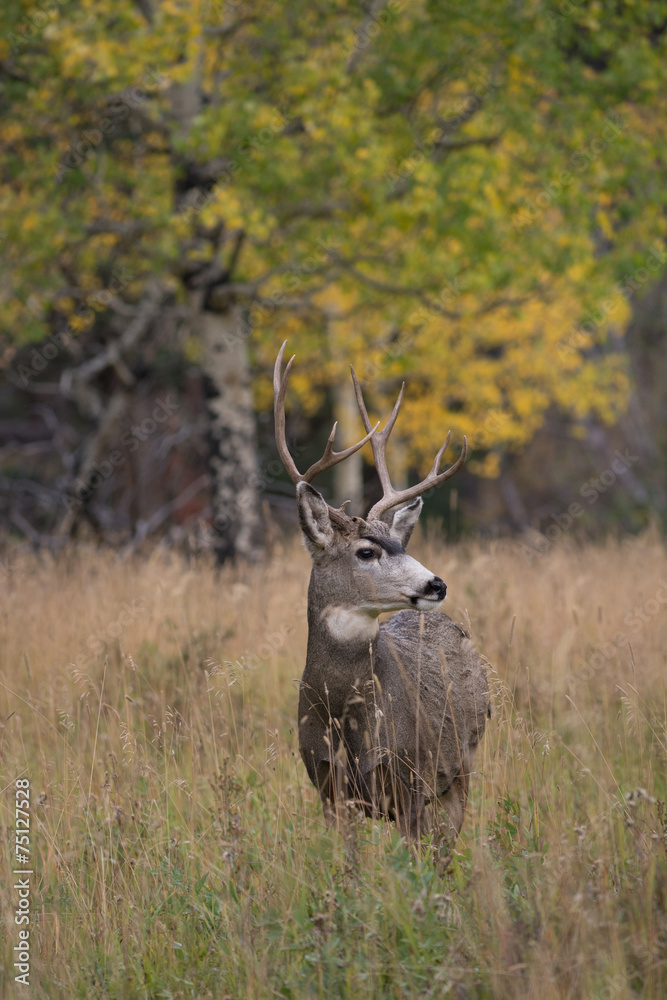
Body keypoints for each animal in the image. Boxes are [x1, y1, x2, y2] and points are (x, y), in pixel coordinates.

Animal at [274, 342, 490, 849]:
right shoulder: (328, 788)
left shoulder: (410, 778)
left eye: (401, 545)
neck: (345, 714)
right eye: (366, 551)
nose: (436, 584)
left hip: (460, 768)